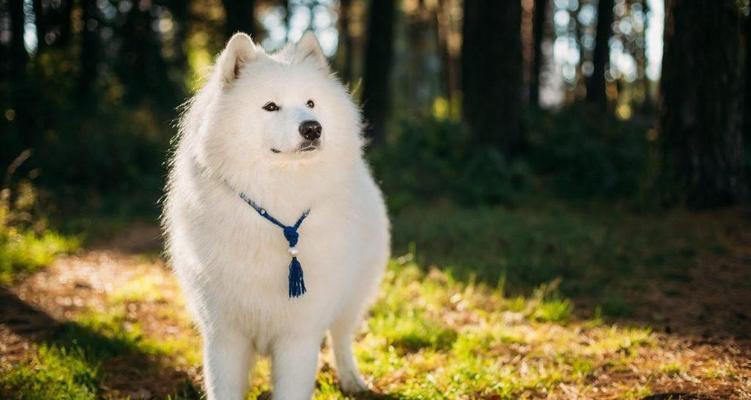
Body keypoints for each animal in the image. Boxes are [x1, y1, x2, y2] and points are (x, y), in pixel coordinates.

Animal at [162, 32, 390, 400]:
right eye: (271, 106)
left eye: (311, 103)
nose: (313, 128)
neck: (279, 200)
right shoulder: (224, 335)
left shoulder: (299, 336)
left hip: (353, 297)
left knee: (341, 338)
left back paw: (352, 380)